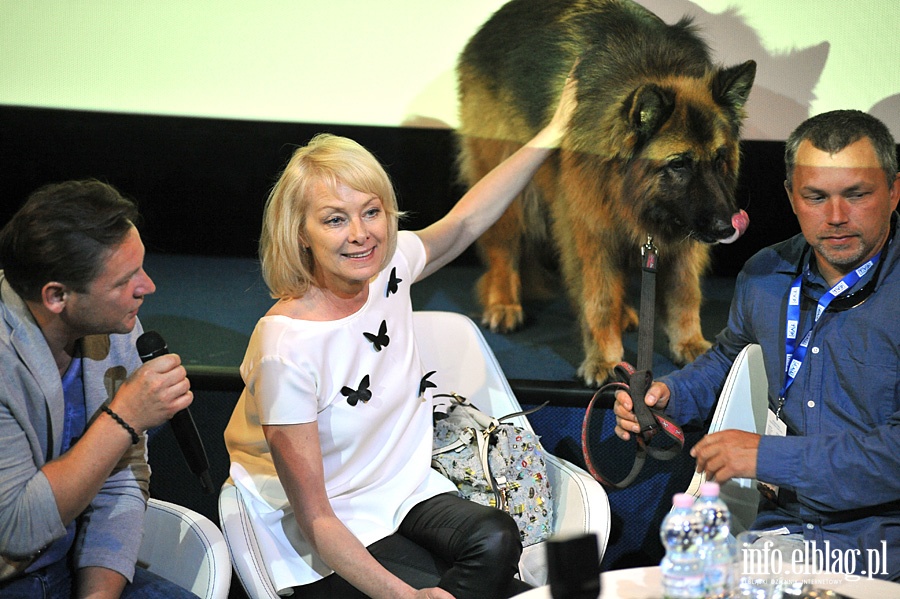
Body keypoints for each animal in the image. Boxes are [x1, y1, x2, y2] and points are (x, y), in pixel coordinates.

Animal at [458, 0, 752, 384]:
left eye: (719, 159)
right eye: (679, 164)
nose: (726, 228)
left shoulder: (681, 236)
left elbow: (685, 290)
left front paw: (689, 343)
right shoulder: (589, 229)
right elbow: (598, 299)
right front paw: (605, 358)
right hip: (508, 188)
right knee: (503, 248)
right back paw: (503, 302)